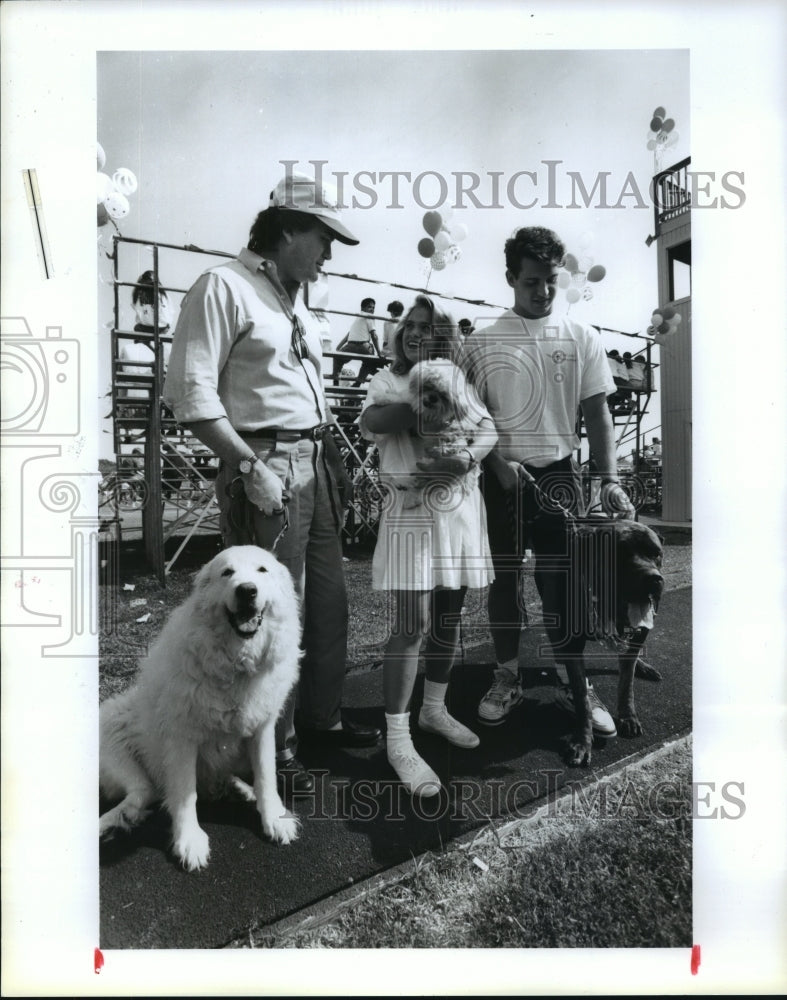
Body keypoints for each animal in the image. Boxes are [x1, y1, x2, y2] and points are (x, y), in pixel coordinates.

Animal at [100, 548, 304, 868]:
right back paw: (110, 821)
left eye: (262, 570)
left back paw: (240, 789)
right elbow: (186, 793)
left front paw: (273, 817)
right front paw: (189, 841)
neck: (236, 663)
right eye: (227, 573)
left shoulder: (262, 729)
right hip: (111, 728)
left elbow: (266, 777)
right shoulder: (182, 737)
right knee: (142, 794)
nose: (247, 590)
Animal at [564, 516, 668, 764]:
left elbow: (626, 681)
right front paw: (583, 740)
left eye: (656, 554)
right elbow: (581, 695)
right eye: (619, 554)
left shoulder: (640, 633)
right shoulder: (571, 643)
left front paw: (627, 716)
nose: (654, 579)